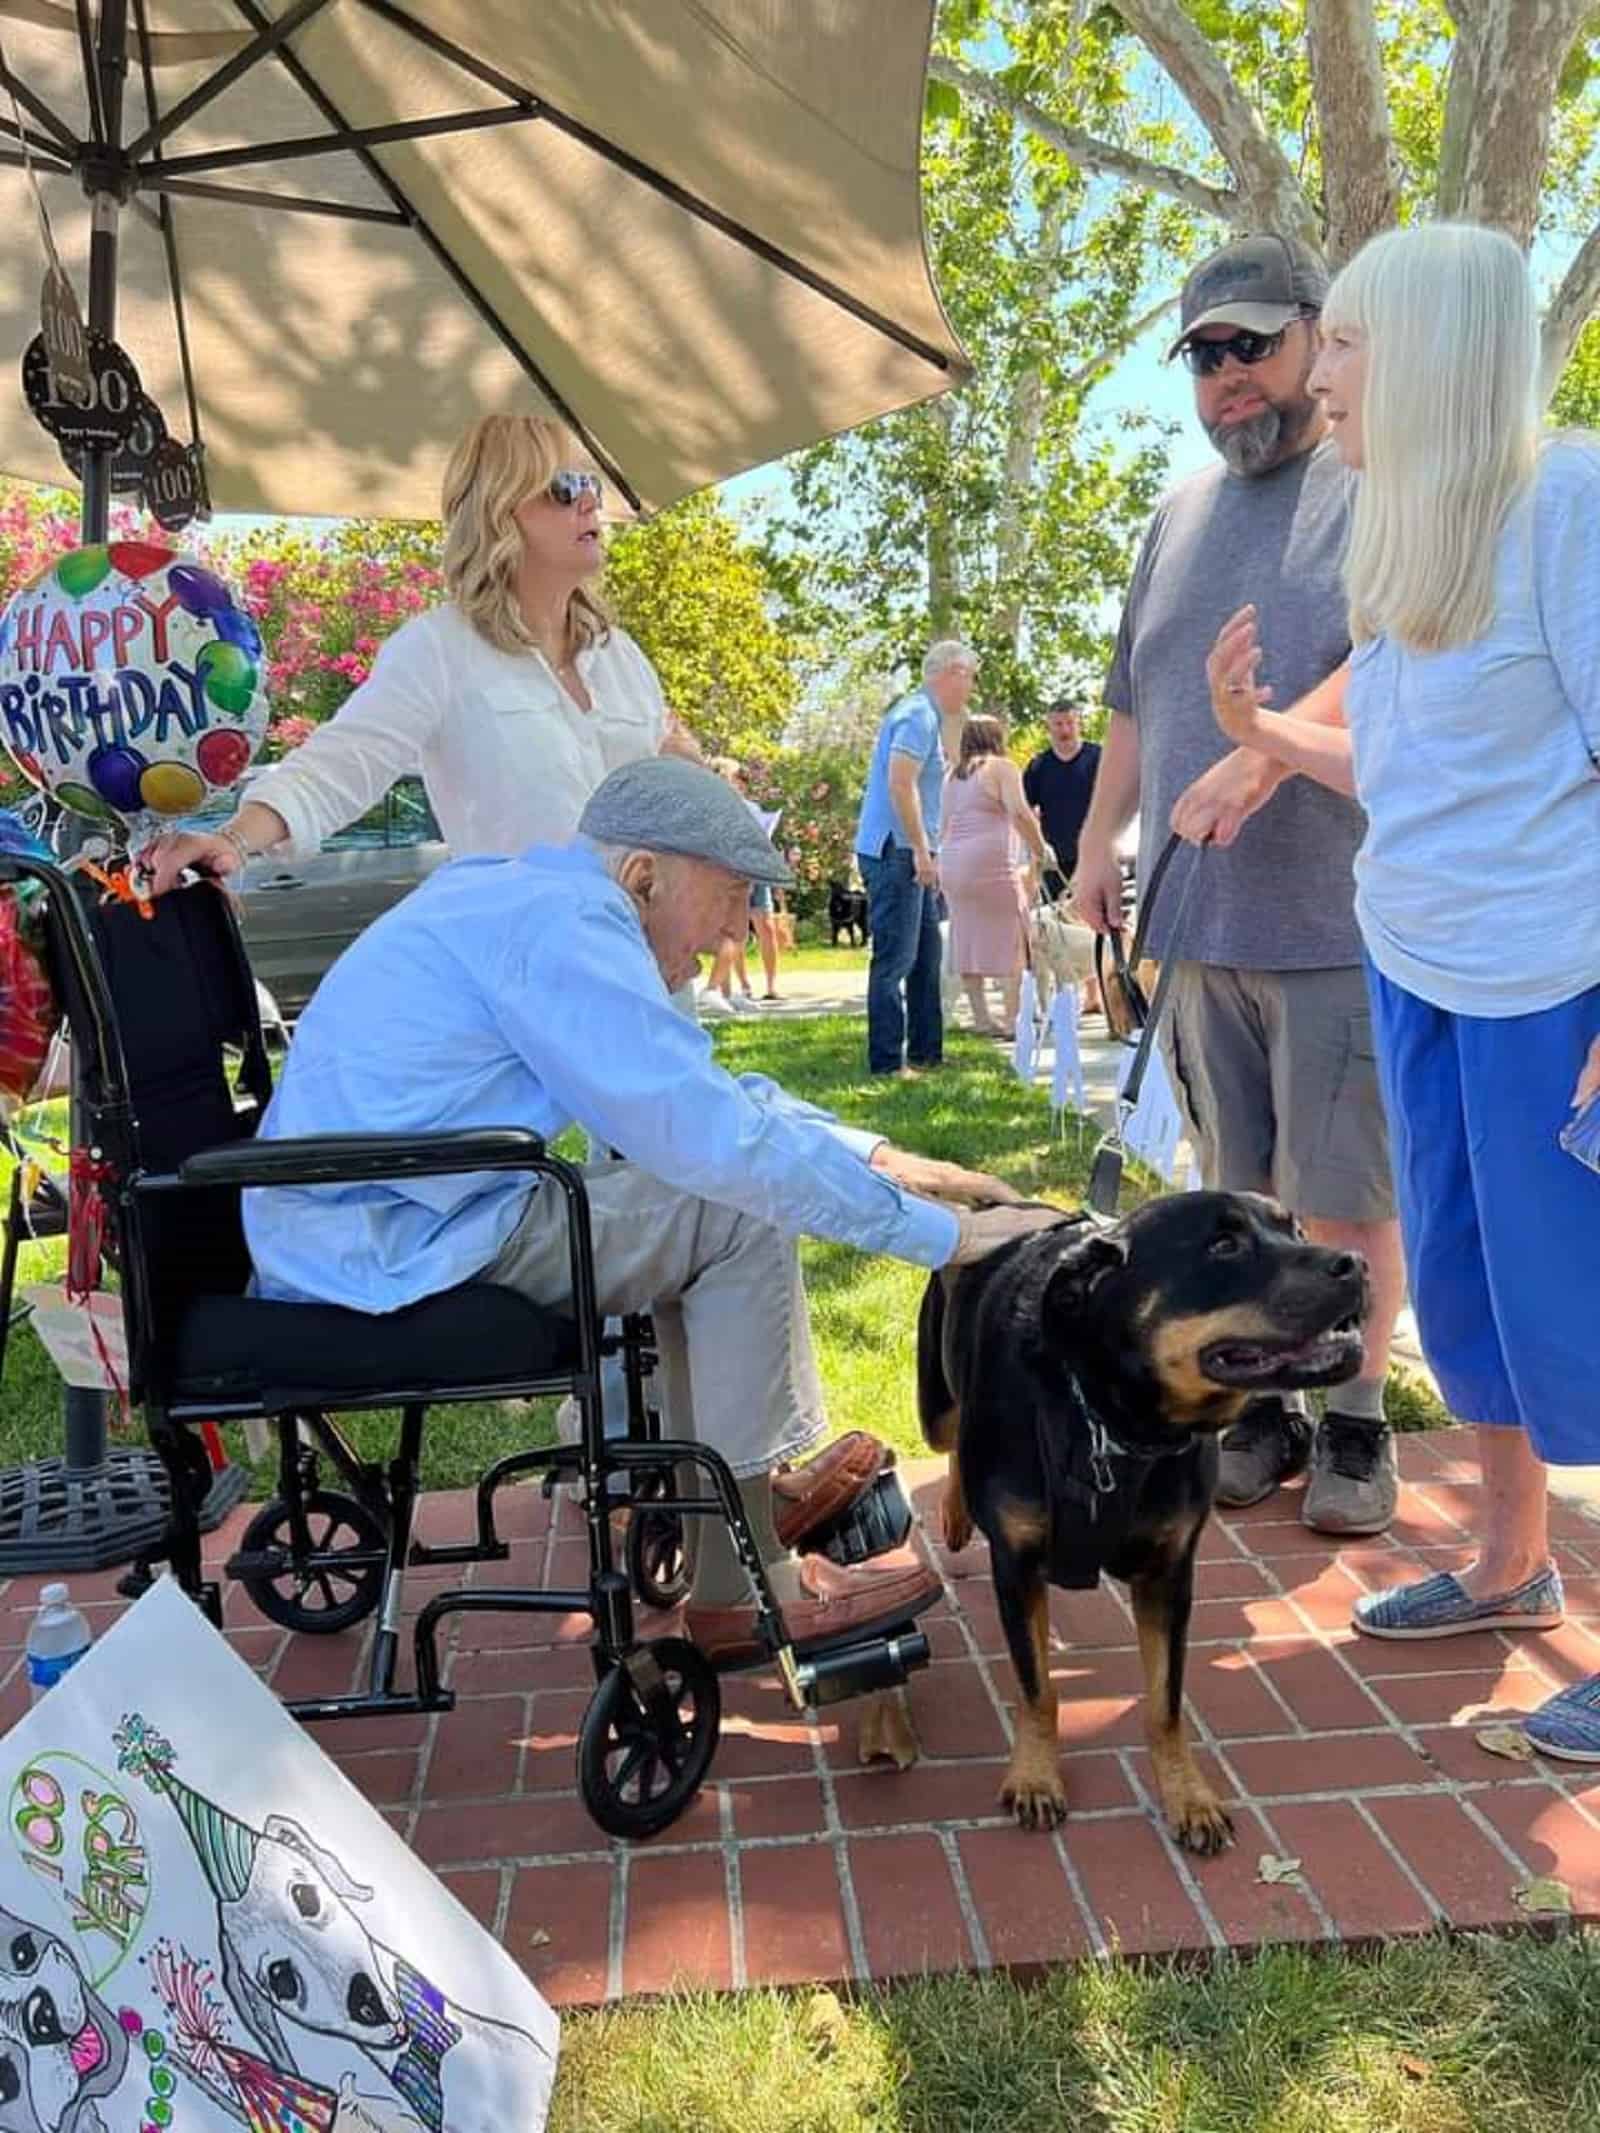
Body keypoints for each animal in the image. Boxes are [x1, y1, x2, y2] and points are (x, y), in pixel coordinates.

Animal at [921, 1194, 1373, 1859]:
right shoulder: (1018, 1569)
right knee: (948, 1438)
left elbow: (1165, 1701)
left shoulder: (1169, 1573)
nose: (1357, 1263)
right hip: (935, 1403)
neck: (1115, 1422)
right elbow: (1038, 1688)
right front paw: (1035, 1776)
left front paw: (1187, 1794)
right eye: (1223, 1246)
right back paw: (955, 1511)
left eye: (1294, 1228)